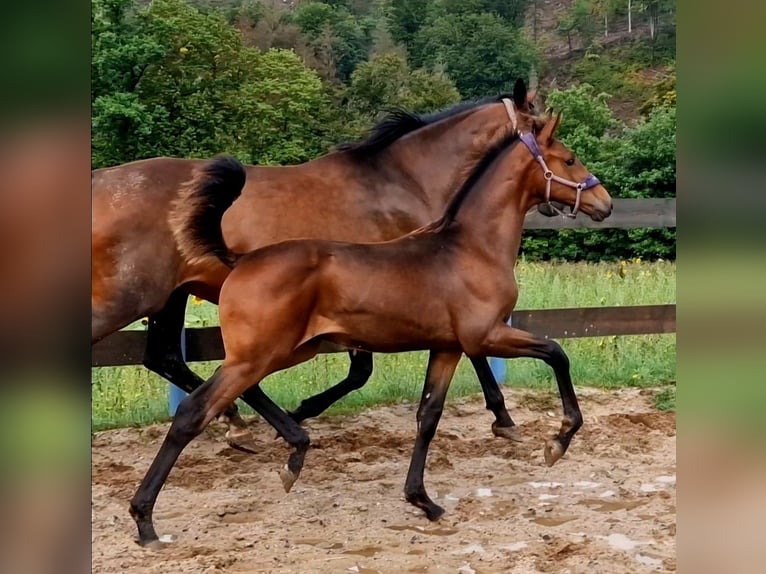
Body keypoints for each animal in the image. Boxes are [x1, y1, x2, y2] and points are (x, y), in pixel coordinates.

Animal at [94, 77, 544, 446]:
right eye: (542, 128)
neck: (400, 183)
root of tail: (99, 182)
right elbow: (372, 370)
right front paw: (504, 419)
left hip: (170, 296)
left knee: (166, 357)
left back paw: (238, 422)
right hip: (128, 297)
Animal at [130, 112, 612, 548]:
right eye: (569, 159)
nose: (605, 203)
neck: (470, 248)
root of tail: (241, 259)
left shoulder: (448, 348)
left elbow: (428, 416)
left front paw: (423, 501)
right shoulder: (487, 336)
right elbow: (557, 353)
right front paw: (557, 441)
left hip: (282, 352)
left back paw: (290, 451)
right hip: (256, 356)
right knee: (192, 412)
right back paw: (146, 521)